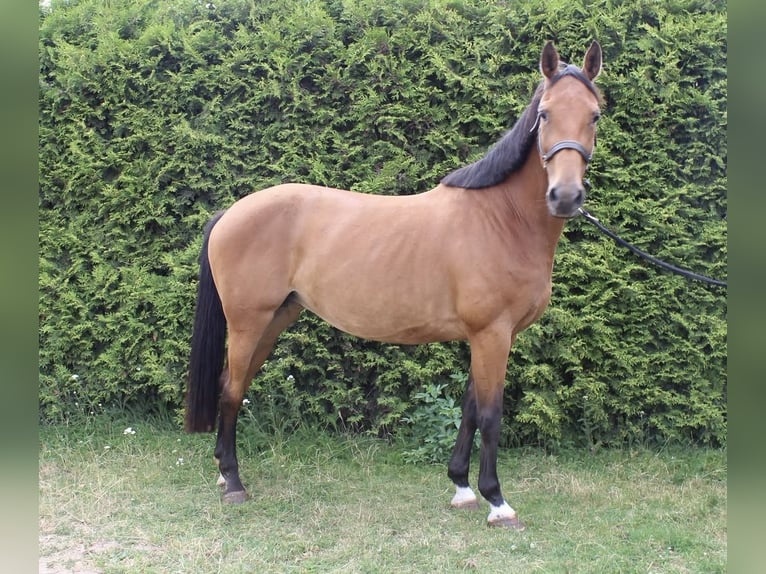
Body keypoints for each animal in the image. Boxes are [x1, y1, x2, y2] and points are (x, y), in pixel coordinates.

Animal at [185, 40, 603, 530]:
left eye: (595, 115)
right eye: (545, 114)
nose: (566, 196)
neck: (502, 219)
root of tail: (229, 213)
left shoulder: (484, 336)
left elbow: (468, 408)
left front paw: (462, 488)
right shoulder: (492, 334)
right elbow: (490, 414)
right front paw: (497, 502)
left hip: (274, 319)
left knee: (233, 382)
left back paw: (222, 471)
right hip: (248, 322)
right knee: (232, 389)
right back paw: (234, 482)